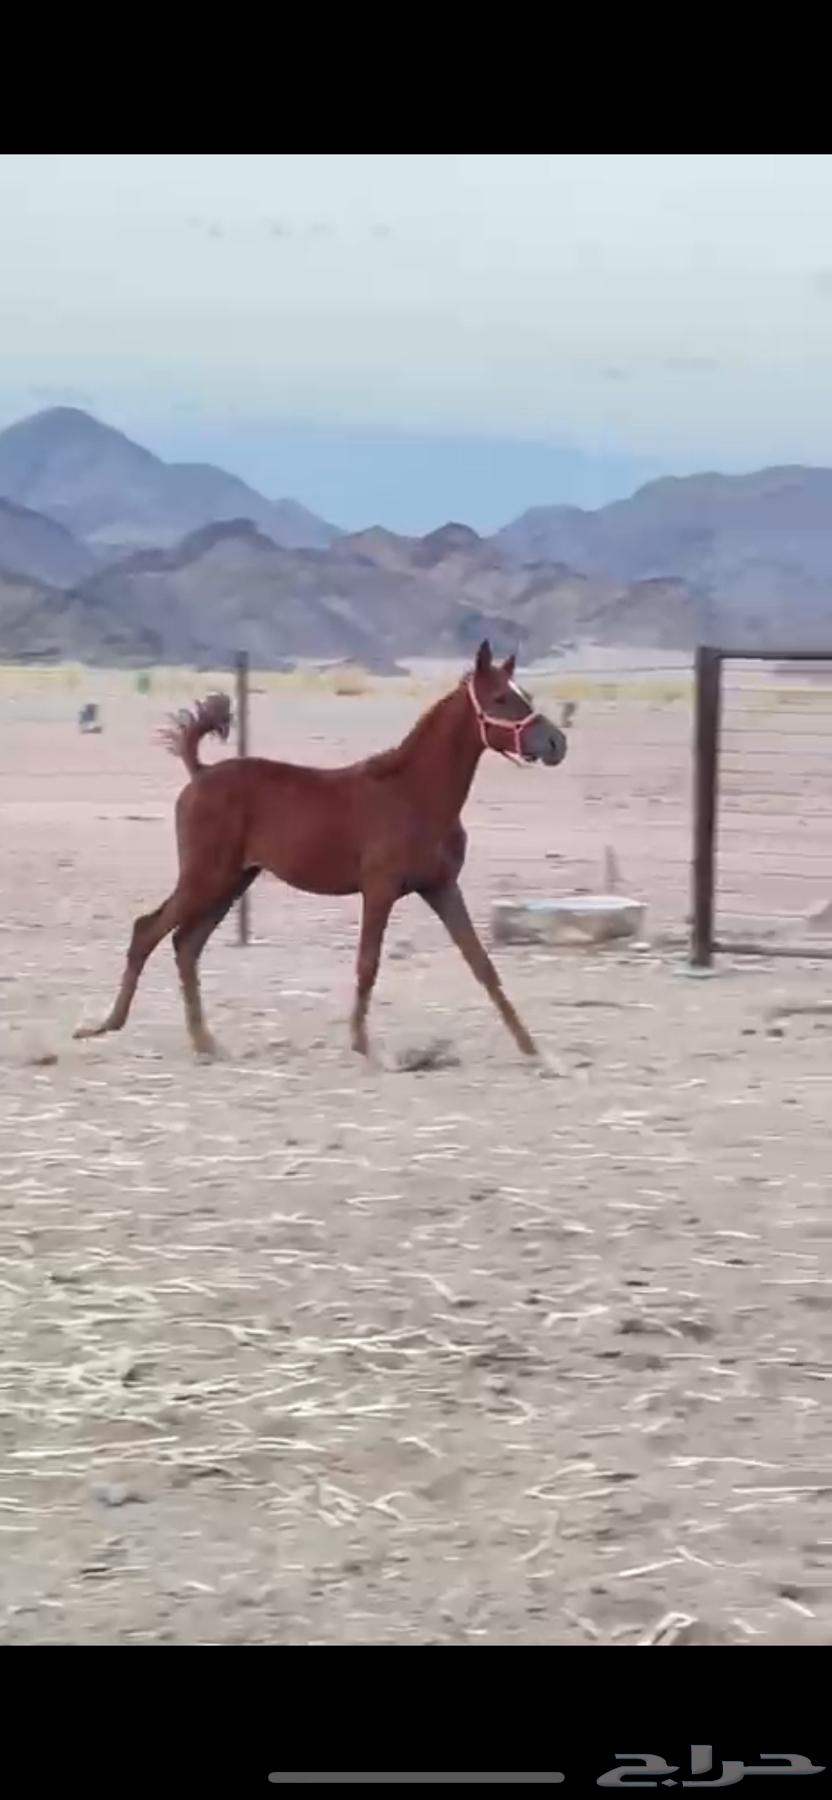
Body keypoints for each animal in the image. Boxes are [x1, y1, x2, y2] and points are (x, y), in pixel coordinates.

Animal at [74, 641, 567, 1062]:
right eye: (501, 698)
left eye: (525, 693)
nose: (556, 743)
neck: (414, 795)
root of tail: (200, 771)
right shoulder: (380, 889)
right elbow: (368, 964)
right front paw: (365, 1047)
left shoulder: (442, 887)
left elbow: (482, 965)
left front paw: (534, 1050)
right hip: (205, 876)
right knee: (149, 931)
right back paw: (105, 1026)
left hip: (233, 881)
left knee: (185, 945)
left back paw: (205, 1042)